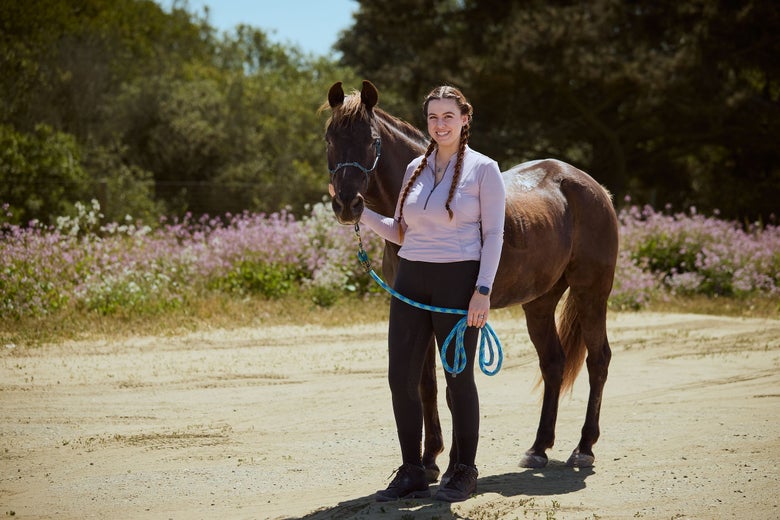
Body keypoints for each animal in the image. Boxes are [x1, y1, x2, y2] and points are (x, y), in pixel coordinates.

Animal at [321, 80, 619, 479]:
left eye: (372, 140)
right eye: (329, 138)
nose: (347, 204)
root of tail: (596, 189)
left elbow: (453, 389)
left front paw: (452, 466)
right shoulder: (416, 308)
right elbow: (427, 386)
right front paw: (429, 460)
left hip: (592, 293)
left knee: (598, 360)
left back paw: (584, 448)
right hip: (539, 302)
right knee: (553, 363)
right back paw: (538, 448)